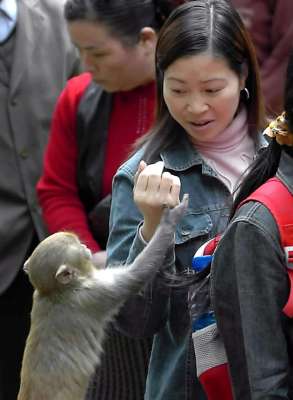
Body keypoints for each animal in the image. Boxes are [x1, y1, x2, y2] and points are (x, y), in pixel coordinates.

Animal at [17, 195, 187, 400]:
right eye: (78, 247)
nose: (85, 246)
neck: (55, 291)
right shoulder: (92, 294)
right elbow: (135, 276)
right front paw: (169, 221)